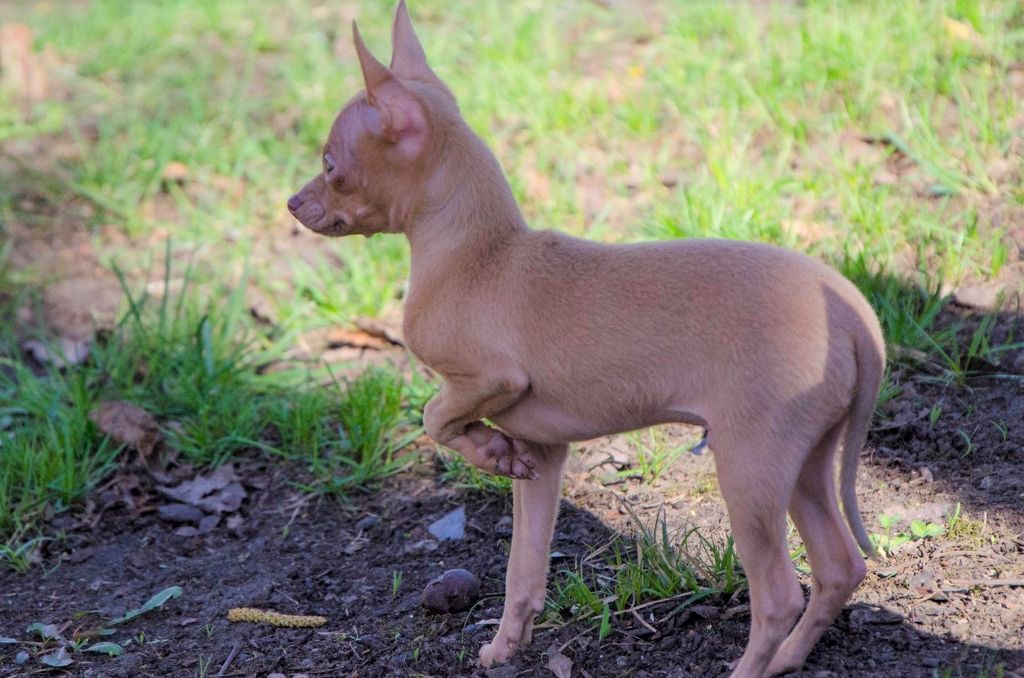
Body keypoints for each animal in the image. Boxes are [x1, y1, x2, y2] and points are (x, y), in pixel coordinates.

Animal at [288, 3, 888, 675]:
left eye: (331, 166)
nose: (292, 203)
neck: (479, 253)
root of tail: (854, 313)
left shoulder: (491, 379)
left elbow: (433, 414)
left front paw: (484, 450)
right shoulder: (544, 453)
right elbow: (522, 568)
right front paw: (506, 644)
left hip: (751, 463)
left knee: (781, 594)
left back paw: (754, 665)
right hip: (806, 457)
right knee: (840, 566)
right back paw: (788, 659)